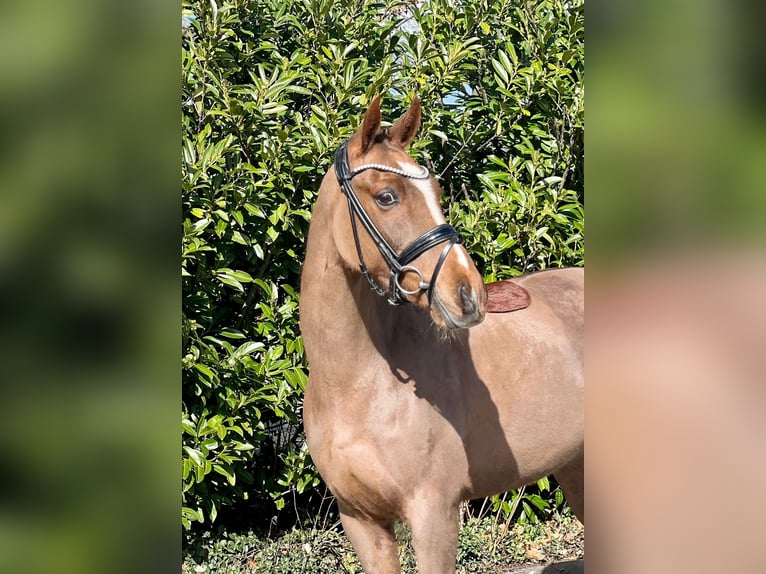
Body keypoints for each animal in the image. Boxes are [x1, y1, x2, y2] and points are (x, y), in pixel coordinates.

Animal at [298, 97, 584, 572]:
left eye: (436, 192)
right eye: (387, 196)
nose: (469, 294)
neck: (356, 385)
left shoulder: (435, 514)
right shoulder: (360, 520)